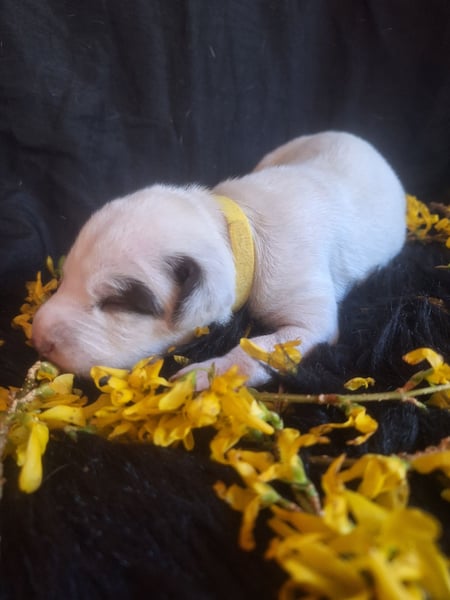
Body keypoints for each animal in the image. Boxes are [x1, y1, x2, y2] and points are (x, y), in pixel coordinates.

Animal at [31, 131, 406, 389]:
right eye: (65, 277)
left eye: (115, 302)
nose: (37, 338)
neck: (241, 231)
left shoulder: (306, 314)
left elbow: (262, 346)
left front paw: (205, 375)